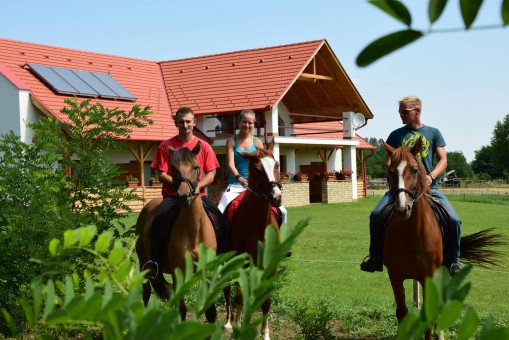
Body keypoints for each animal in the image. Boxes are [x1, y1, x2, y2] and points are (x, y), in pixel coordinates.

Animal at [135, 143, 216, 322]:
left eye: (196, 167)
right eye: (173, 168)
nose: (184, 196)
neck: (193, 229)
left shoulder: (208, 271)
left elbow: (211, 311)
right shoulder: (178, 273)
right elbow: (181, 309)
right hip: (144, 266)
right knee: (145, 294)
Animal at [223, 139, 284, 338]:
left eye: (277, 165)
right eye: (256, 170)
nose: (276, 197)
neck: (258, 223)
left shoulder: (270, 264)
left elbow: (266, 299)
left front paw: (265, 333)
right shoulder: (241, 262)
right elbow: (240, 295)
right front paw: (237, 328)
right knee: (228, 288)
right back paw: (229, 322)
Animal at [380, 138, 504, 340]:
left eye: (415, 170)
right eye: (390, 172)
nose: (402, 208)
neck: (411, 234)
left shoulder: (429, 277)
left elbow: (428, 318)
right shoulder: (395, 275)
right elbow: (402, 312)